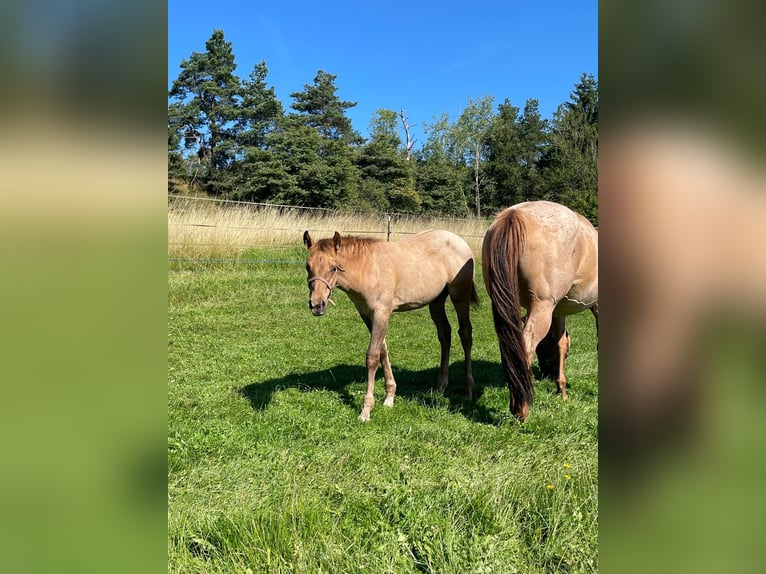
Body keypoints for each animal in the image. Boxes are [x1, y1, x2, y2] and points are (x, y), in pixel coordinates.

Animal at [303, 229, 479, 421]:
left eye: (333, 267)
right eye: (307, 266)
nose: (317, 305)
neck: (368, 268)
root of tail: (459, 240)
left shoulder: (382, 313)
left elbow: (372, 357)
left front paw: (366, 410)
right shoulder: (367, 314)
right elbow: (383, 351)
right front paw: (389, 397)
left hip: (460, 296)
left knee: (465, 334)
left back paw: (468, 390)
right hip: (436, 301)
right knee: (445, 334)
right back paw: (440, 386)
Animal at [481, 200, 598, 420]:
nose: (546, 373)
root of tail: (514, 214)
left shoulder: (558, 312)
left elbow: (560, 343)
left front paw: (562, 391)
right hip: (542, 307)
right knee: (525, 345)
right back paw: (522, 408)